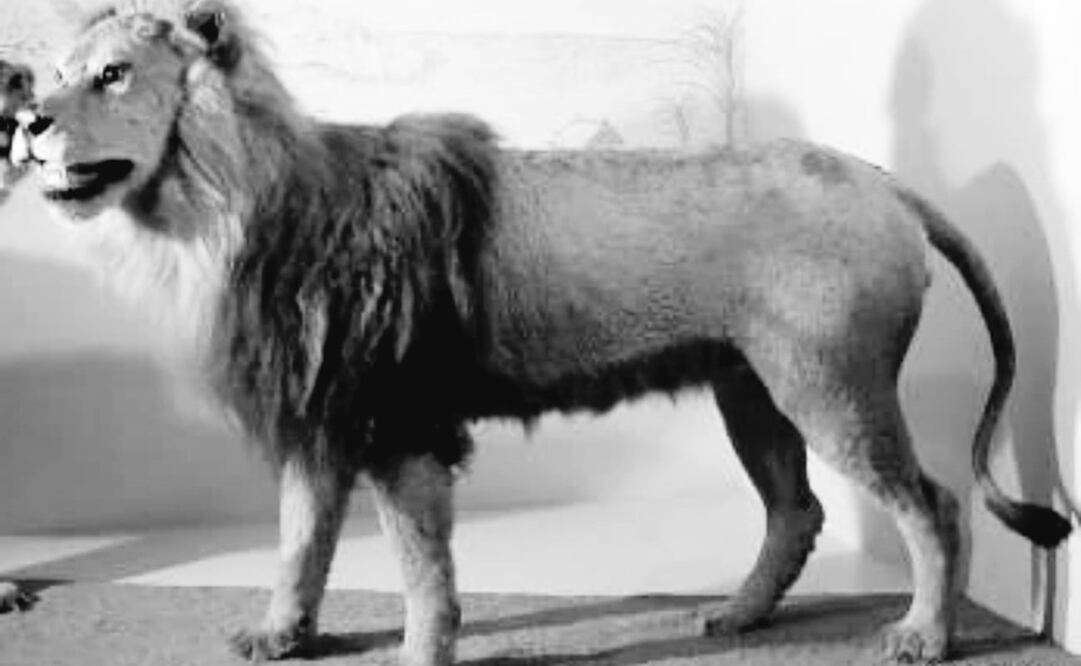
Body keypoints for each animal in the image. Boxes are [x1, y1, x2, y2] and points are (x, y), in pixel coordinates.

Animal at [17, 1, 1071, 663]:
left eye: (112, 76)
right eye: (54, 76)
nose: (24, 121)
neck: (220, 214)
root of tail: (881, 180)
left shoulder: (400, 422)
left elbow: (420, 566)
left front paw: (419, 653)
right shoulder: (322, 418)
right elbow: (297, 544)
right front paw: (280, 638)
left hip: (833, 385)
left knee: (932, 506)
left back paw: (923, 636)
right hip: (753, 388)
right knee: (797, 511)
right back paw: (734, 617)